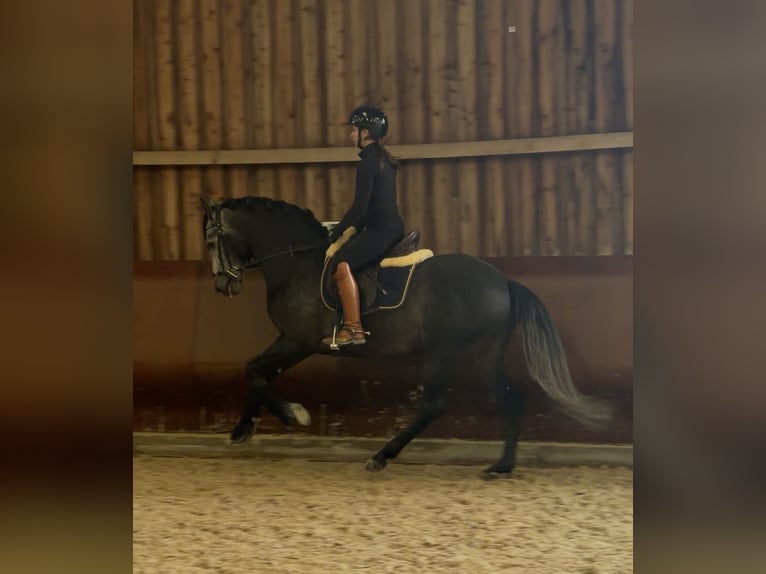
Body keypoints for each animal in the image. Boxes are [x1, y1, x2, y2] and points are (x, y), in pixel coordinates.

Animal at [199, 195, 613, 475]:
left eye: (210, 242)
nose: (222, 285)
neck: (297, 260)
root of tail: (503, 282)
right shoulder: (293, 341)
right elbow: (256, 371)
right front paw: (242, 429)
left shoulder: (299, 341)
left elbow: (255, 371)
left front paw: (291, 415)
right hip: (484, 354)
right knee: (508, 397)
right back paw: (502, 466)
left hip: (444, 352)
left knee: (435, 404)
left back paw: (381, 457)